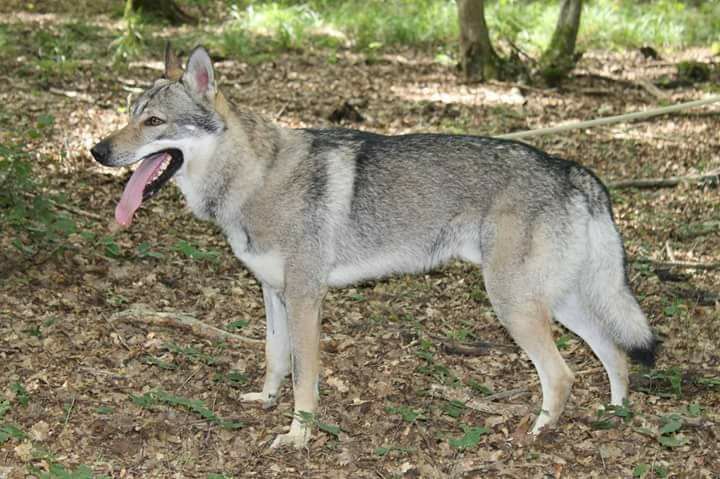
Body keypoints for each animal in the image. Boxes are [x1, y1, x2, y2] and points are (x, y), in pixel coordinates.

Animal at [88, 45, 652, 450]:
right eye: (129, 113)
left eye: (154, 122)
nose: (96, 150)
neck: (255, 178)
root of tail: (570, 168)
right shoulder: (273, 293)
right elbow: (274, 357)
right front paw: (266, 401)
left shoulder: (306, 299)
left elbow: (305, 379)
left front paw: (297, 437)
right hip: (558, 303)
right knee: (617, 355)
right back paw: (615, 414)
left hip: (514, 305)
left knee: (563, 374)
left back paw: (535, 435)